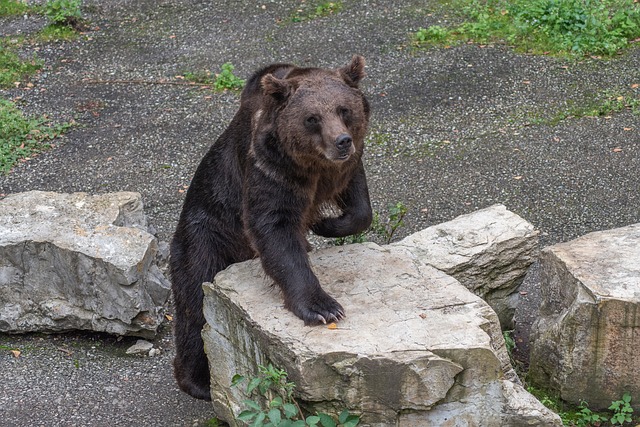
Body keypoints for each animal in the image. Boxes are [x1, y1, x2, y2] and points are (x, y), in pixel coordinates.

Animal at [170, 56, 372, 402]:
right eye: (312, 118)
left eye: (344, 109)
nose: (341, 141)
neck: (311, 165)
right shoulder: (270, 169)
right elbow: (275, 231)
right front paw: (323, 308)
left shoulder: (344, 167)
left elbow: (358, 203)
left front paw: (325, 223)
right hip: (206, 235)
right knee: (195, 303)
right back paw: (199, 381)